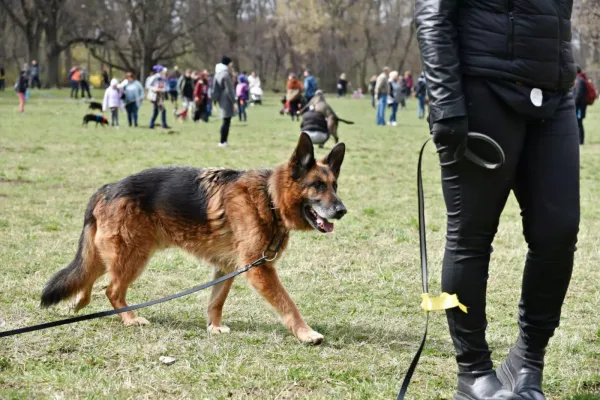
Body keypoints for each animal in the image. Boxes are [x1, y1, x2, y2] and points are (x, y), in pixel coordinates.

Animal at [41, 133, 346, 342]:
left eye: (334, 186)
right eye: (317, 185)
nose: (342, 210)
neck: (269, 198)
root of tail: (108, 187)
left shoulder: (228, 266)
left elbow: (216, 301)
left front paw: (214, 327)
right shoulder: (259, 270)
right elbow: (288, 303)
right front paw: (306, 333)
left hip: (114, 254)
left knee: (89, 276)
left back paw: (79, 302)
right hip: (133, 256)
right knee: (111, 289)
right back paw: (129, 318)